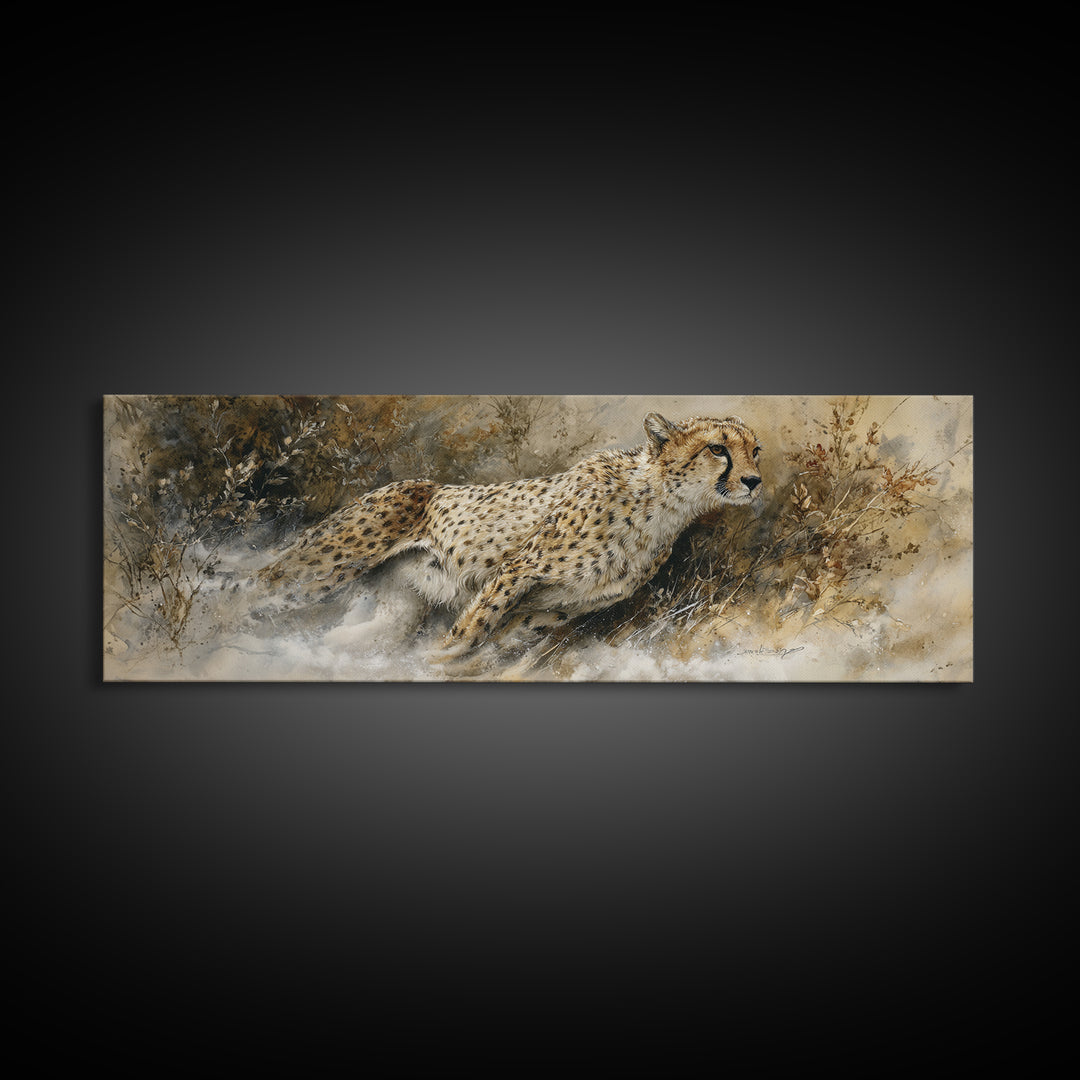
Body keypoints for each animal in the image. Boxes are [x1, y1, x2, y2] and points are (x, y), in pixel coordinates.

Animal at [254, 412, 763, 660]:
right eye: (717, 450)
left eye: (755, 450)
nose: (755, 480)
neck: (662, 505)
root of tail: (408, 483)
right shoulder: (518, 571)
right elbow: (470, 630)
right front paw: (436, 665)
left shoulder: (554, 609)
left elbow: (494, 644)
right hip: (320, 570)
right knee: (251, 591)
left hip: (398, 609)